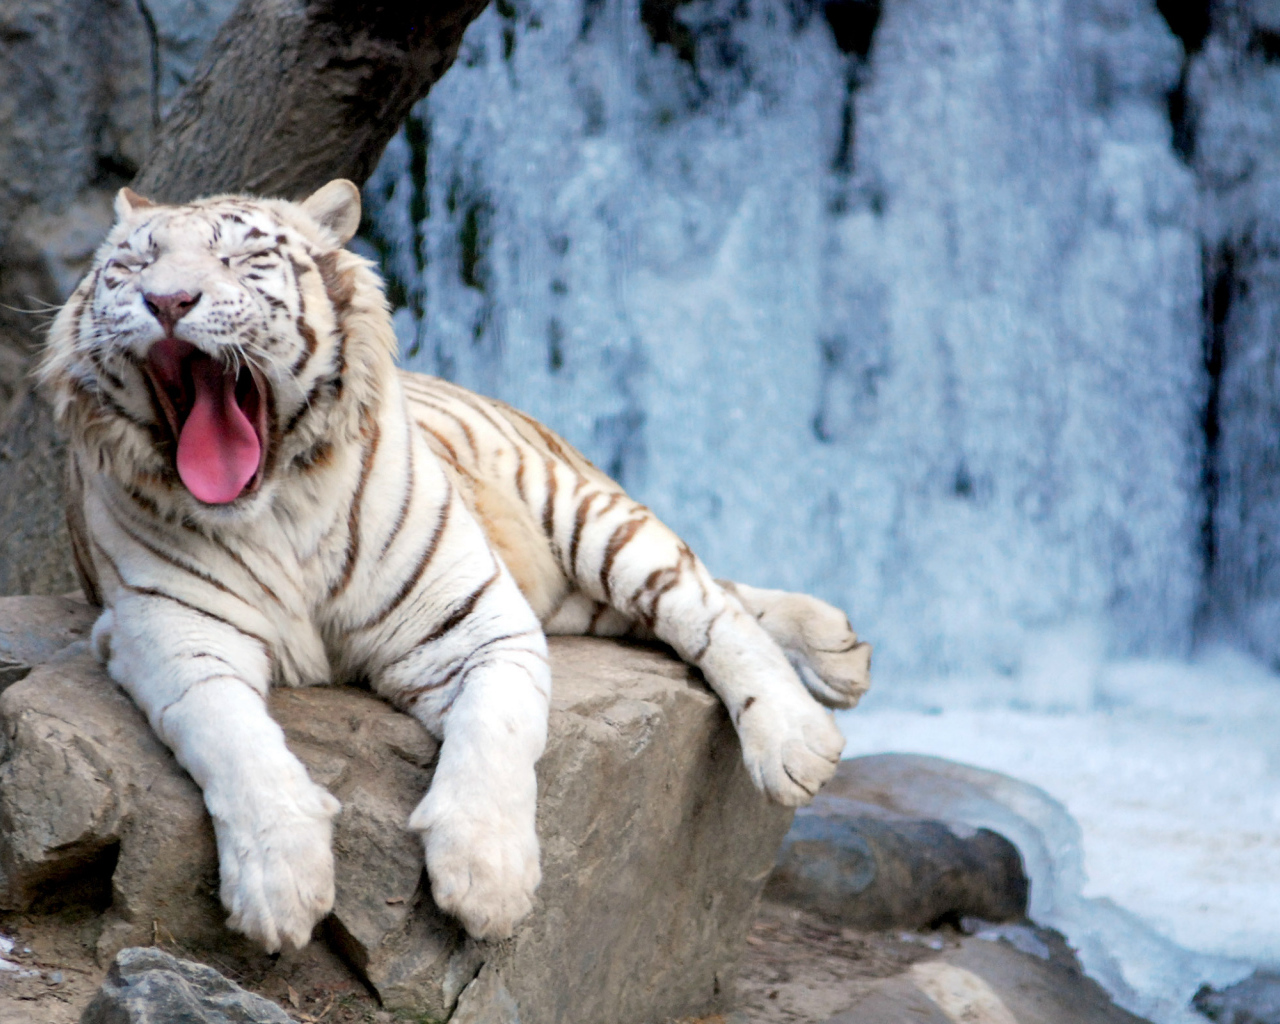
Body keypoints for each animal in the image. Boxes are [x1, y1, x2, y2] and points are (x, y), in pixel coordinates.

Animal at [37, 180, 872, 953]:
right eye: (133, 264)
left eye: (240, 258)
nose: (167, 300)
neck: (275, 508)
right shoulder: (173, 637)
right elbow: (234, 740)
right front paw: (280, 886)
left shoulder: (476, 621)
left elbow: (496, 731)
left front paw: (487, 880)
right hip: (576, 598)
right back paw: (840, 647)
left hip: (583, 515)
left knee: (705, 601)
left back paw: (800, 733)